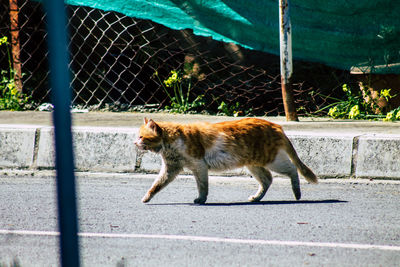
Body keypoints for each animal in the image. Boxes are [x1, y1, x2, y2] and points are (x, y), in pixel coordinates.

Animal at [135, 118, 318, 205]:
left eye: (141, 137)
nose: (135, 143)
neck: (170, 142)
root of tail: (276, 126)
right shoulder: (170, 169)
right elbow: (156, 185)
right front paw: (146, 198)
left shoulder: (199, 166)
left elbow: (202, 186)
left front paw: (201, 200)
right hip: (254, 164)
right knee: (267, 180)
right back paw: (256, 198)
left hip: (271, 160)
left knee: (292, 169)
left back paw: (297, 193)